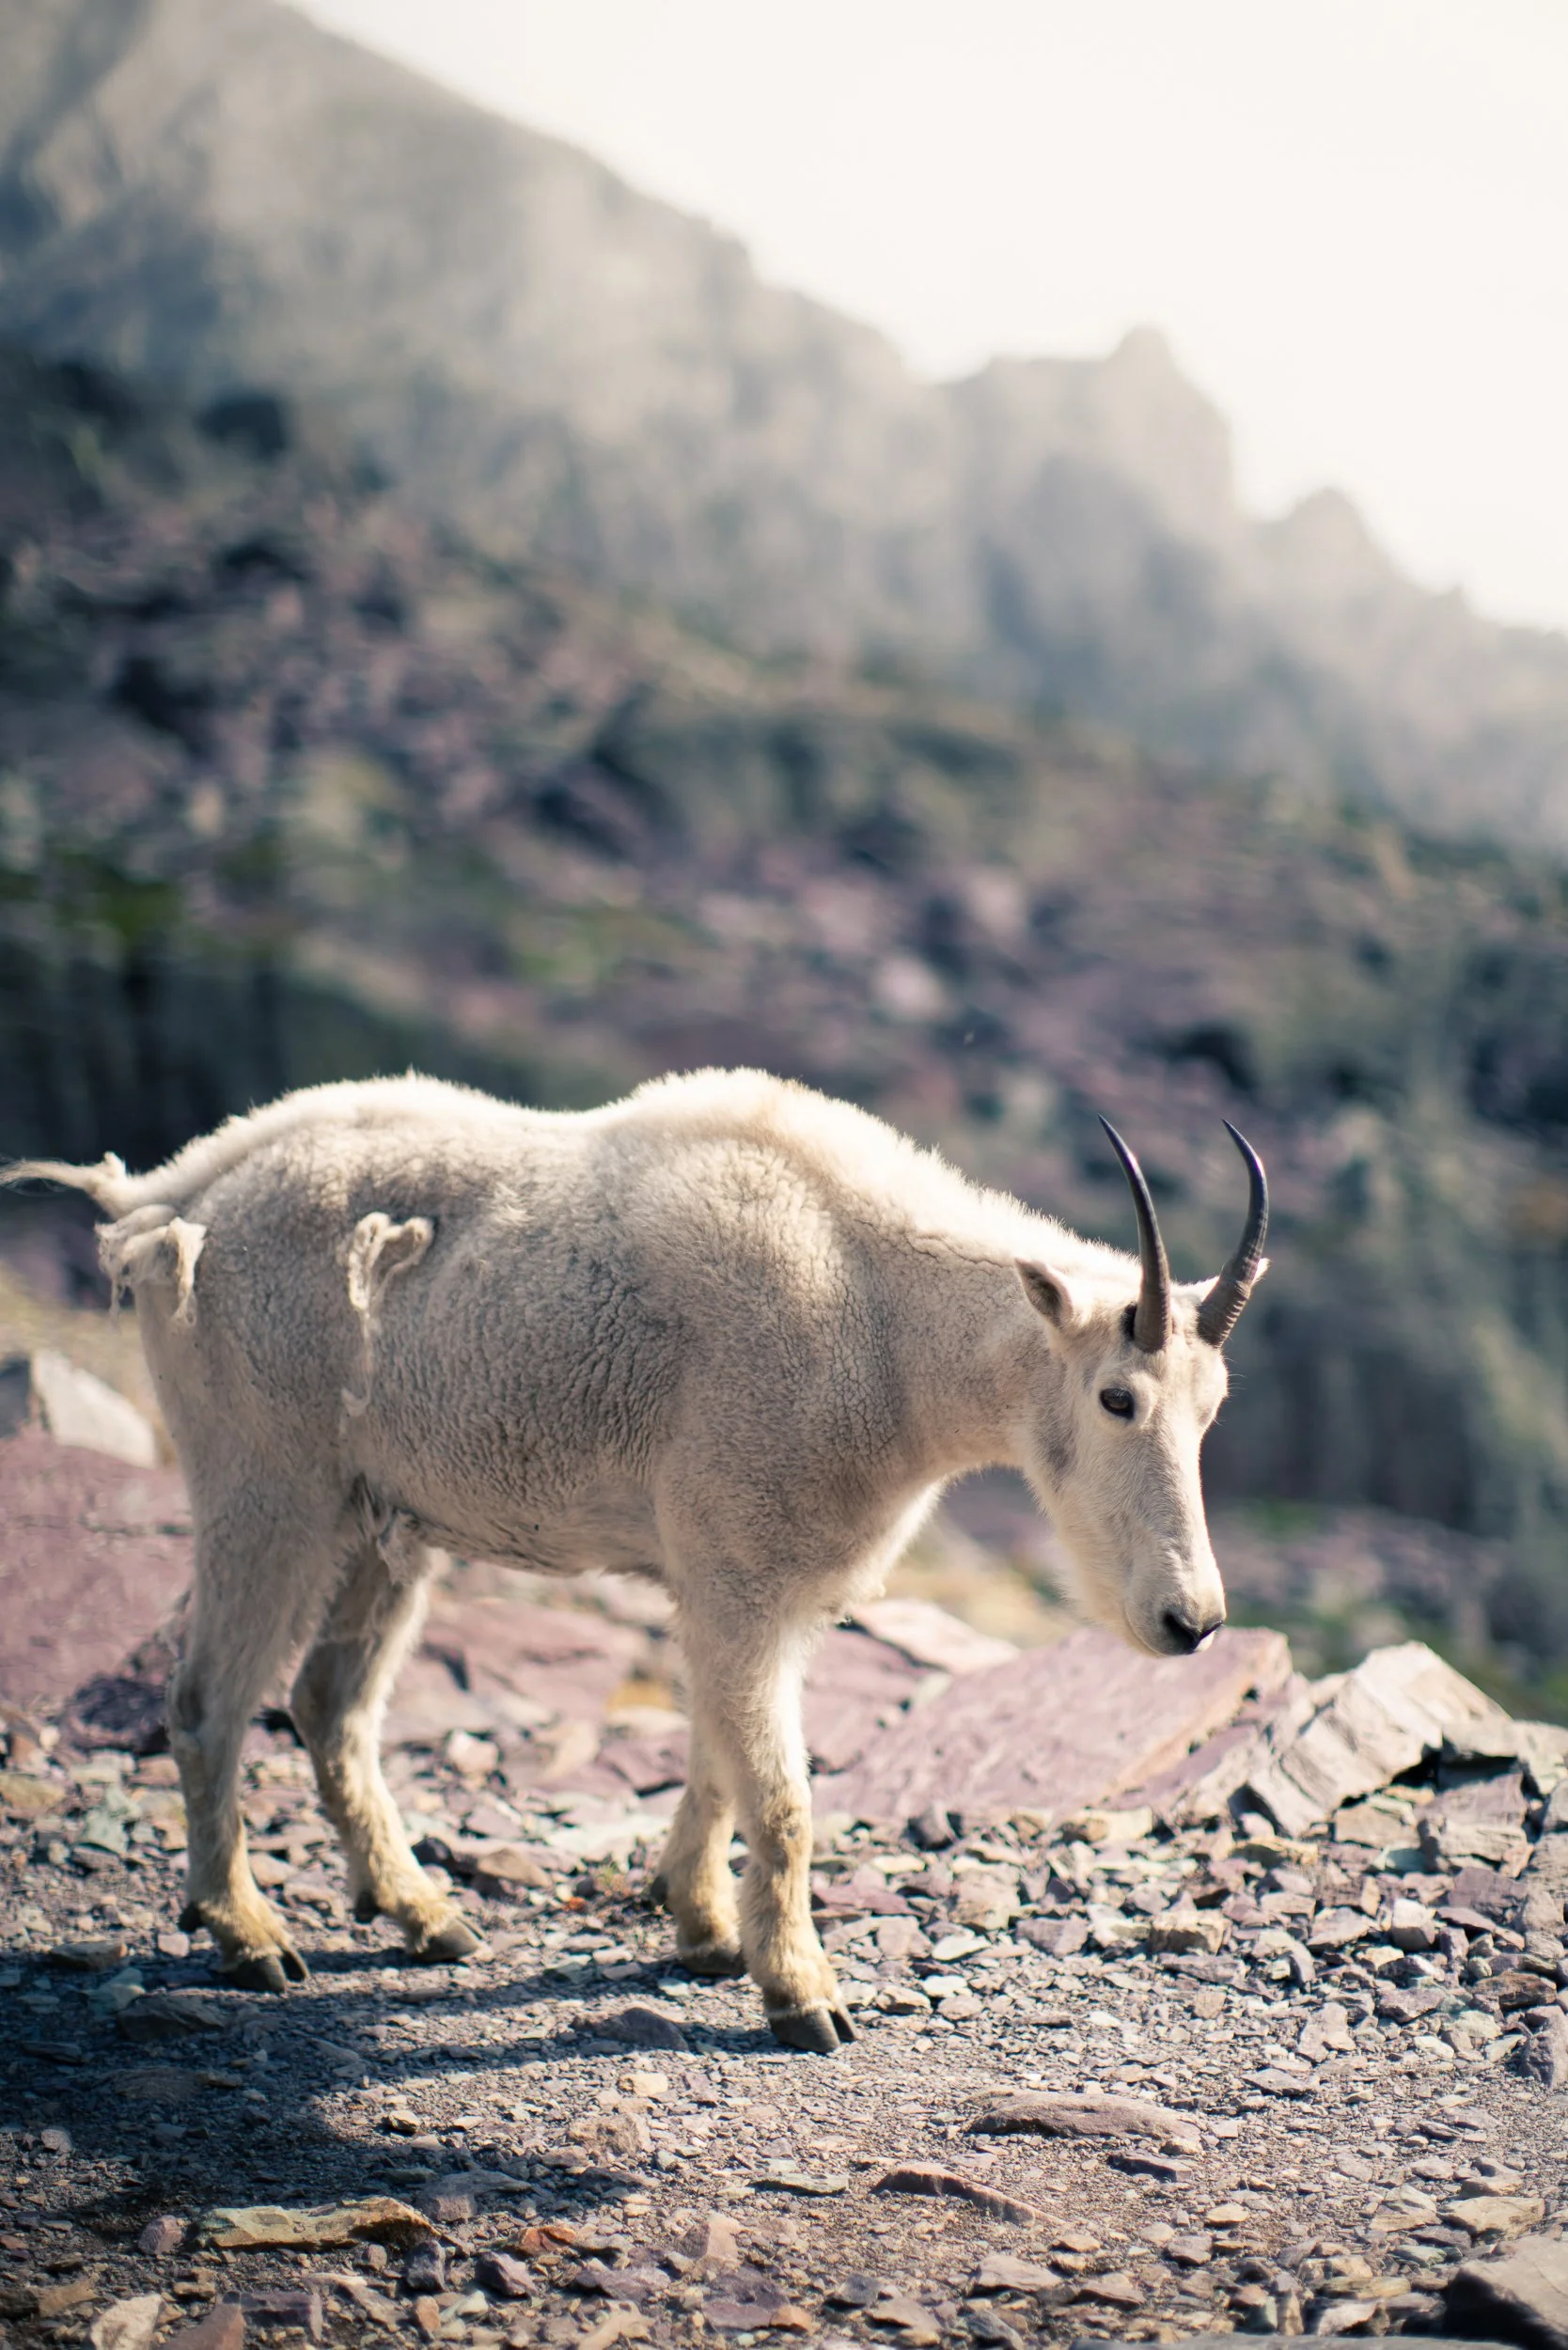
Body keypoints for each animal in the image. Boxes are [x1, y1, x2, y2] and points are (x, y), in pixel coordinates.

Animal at [6, 1068, 1266, 2052]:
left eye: (1215, 1408)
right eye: (1117, 1396)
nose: (1190, 1619)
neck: (883, 1325)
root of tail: (168, 1201)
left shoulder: (749, 1589)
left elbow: (716, 1759)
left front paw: (700, 1927)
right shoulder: (737, 1568)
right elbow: (783, 1796)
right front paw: (801, 1995)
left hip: (381, 1519)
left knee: (330, 1703)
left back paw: (421, 1913)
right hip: (265, 1485)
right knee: (208, 1700)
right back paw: (249, 1935)